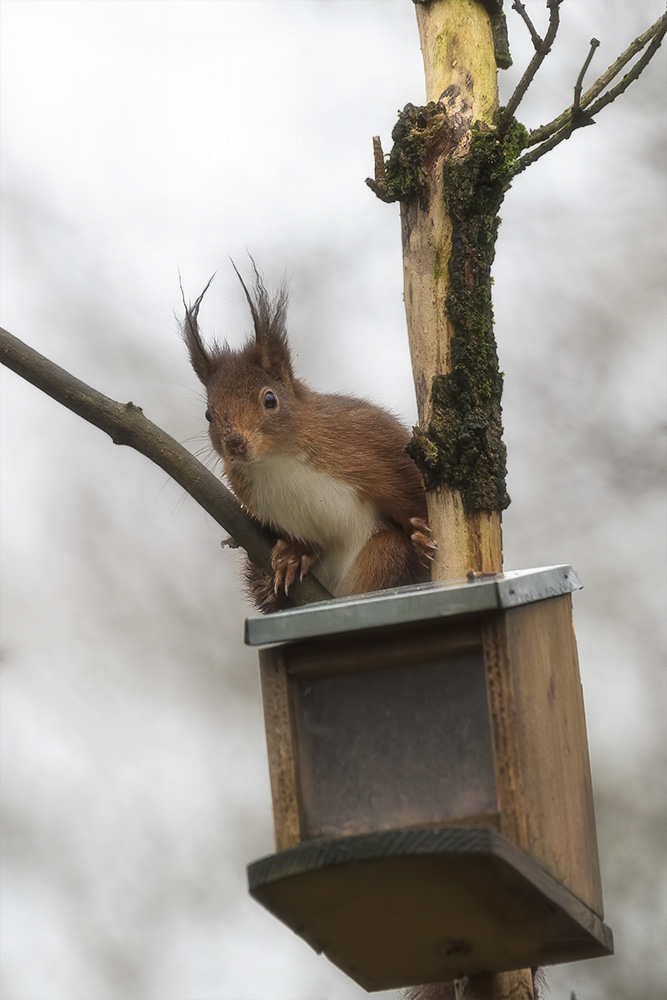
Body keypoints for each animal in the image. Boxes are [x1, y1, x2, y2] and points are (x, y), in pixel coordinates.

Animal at [183, 266, 436, 608]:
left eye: (270, 399)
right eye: (209, 414)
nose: (235, 443)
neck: (277, 459)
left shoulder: (375, 443)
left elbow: (412, 495)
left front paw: (424, 537)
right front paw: (294, 554)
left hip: (382, 555)